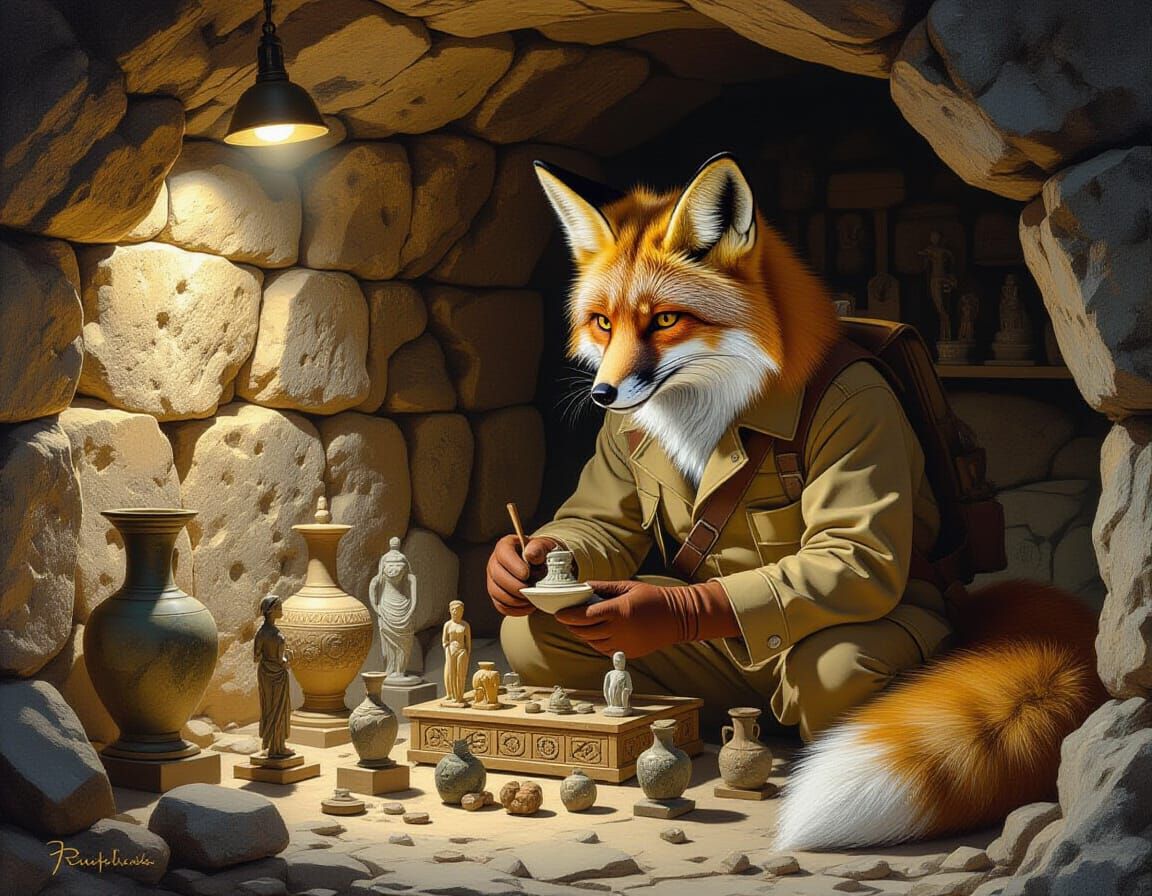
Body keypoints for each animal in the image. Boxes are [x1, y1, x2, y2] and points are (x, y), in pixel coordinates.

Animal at [533, 152, 1105, 849]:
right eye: (604, 322)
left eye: (665, 319)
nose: (603, 395)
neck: (712, 410)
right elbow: (596, 525)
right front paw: (518, 564)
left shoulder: (859, 407)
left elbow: (852, 552)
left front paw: (647, 611)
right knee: (528, 628)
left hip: (865, 651)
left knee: (829, 659)